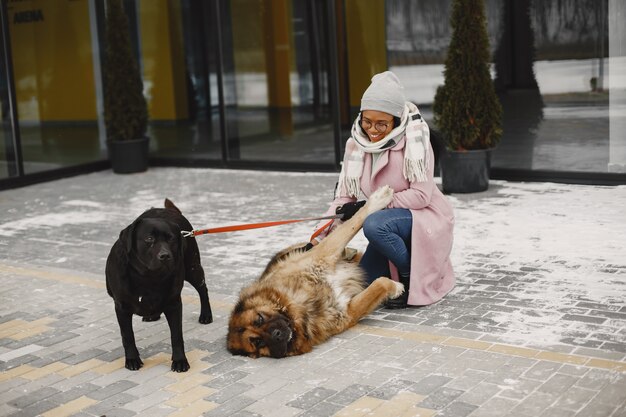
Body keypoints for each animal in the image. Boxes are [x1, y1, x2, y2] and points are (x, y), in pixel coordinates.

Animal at [106, 198, 213, 370]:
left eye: (171, 239)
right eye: (149, 239)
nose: (165, 256)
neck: (148, 276)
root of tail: (171, 210)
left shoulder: (174, 303)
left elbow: (176, 336)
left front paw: (180, 360)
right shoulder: (121, 307)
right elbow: (127, 336)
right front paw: (132, 359)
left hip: (193, 268)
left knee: (203, 289)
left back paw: (206, 315)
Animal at [227, 186, 402, 358]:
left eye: (259, 319)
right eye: (258, 342)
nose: (277, 334)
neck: (302, 307)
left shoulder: (323, 253)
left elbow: (353, 222)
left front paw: (378, 199)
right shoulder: (348, 313)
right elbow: (379, 284)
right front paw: (396, 287)